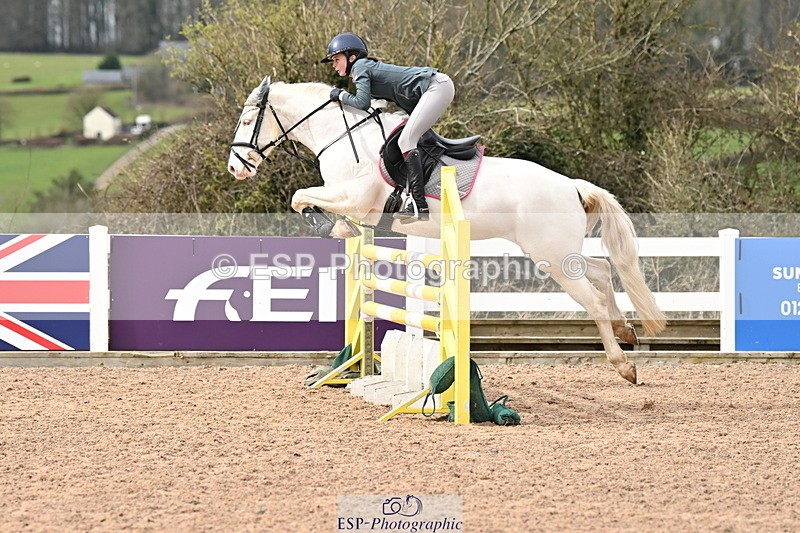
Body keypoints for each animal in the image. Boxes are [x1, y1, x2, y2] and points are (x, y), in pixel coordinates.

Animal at [227, 76, 667, 384]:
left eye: (248, 120)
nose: (235, 168)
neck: (342, 135)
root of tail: (572, 186)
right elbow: (306, 199)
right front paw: (342, 229)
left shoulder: (354, 196)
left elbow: (301, 197)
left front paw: (335, 227)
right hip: (557, 252)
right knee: (601, 270)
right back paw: (627, 331)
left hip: (552, 257)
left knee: (592, 300)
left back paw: (624, 366)